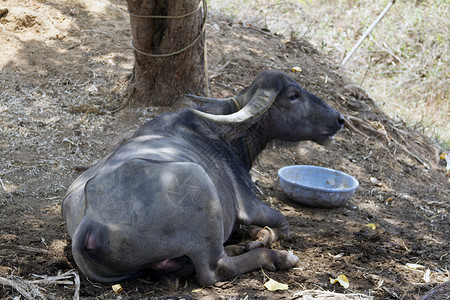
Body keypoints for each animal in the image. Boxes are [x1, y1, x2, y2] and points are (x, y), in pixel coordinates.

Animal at [61, 69, 344, 286]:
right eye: (293, 96)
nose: (340, 119)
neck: (224, 135)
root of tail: (91, 220)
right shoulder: (249, 205)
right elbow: (282, 224)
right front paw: (261, 239)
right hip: (201, 187)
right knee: (215, 269)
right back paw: (279, 258)